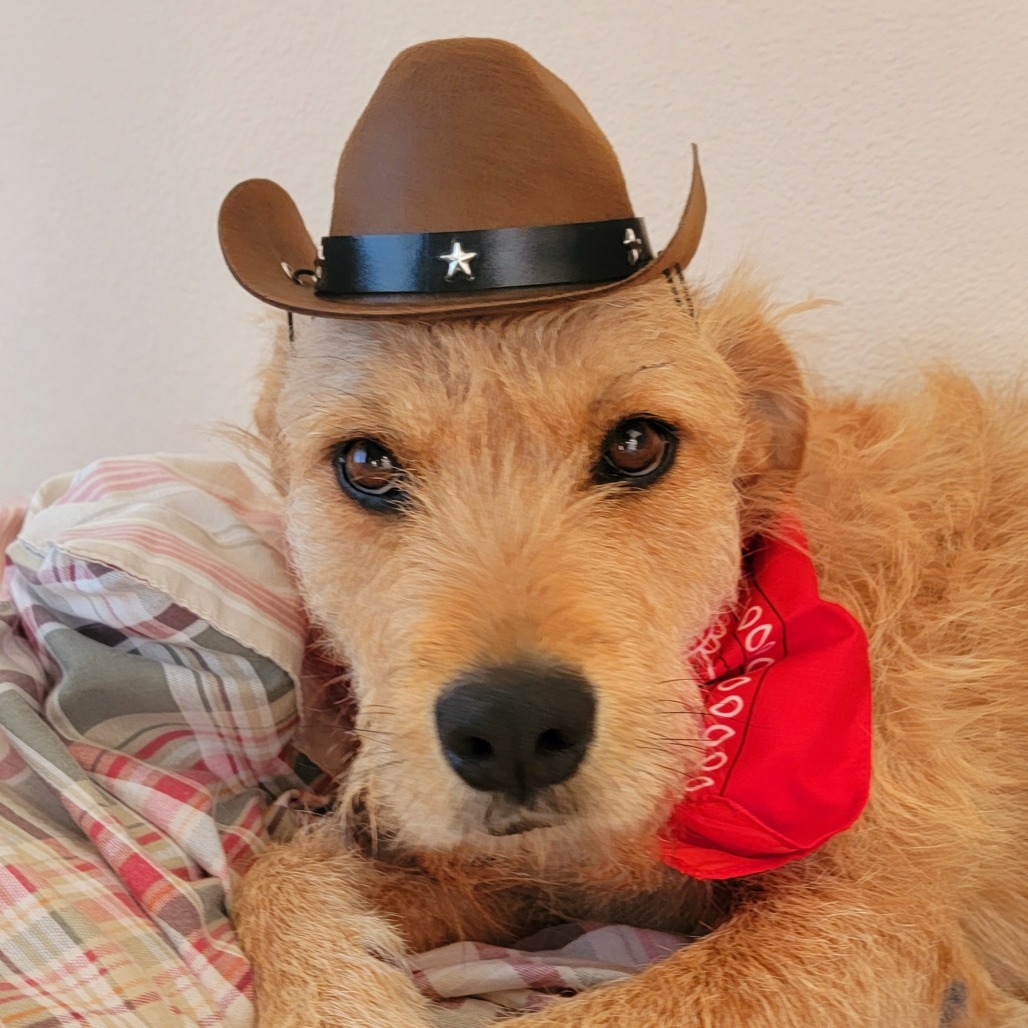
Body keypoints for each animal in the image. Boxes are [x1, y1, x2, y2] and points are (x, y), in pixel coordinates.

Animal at [216, 34, 1028, 1028]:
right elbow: (271, 867)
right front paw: (332, 990)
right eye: (366, 464)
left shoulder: (873, 924)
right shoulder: (518, 878)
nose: (514, 727)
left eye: (638, 444)